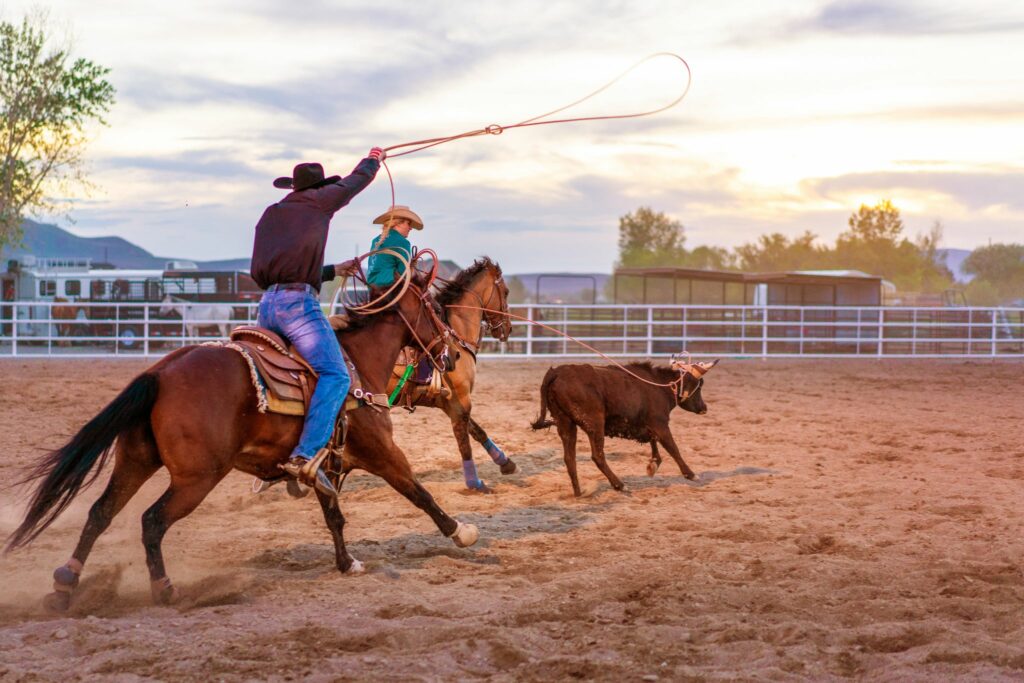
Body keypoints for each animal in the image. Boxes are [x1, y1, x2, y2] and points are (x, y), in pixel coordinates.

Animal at [6, 274, 476, 611]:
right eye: (435, 309)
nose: (454, 355)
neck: (356, 367)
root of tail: (160, 373)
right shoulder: (382, 454)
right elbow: (419, 492)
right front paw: (461, 532)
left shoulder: (323, 464)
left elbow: (334, 517)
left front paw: (347, 564)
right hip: (196, 478)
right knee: (151, 521)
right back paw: (164, 589)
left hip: (135, 461)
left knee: (100, 513)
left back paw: (65, 587)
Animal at [387, 258, 516, 492]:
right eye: (506, 291)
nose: (508, 329)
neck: (454, 336)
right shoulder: (460, 399)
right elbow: (463, 440)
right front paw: (475, 483)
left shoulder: (448, 402)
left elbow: (477, 431)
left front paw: (505, 462)